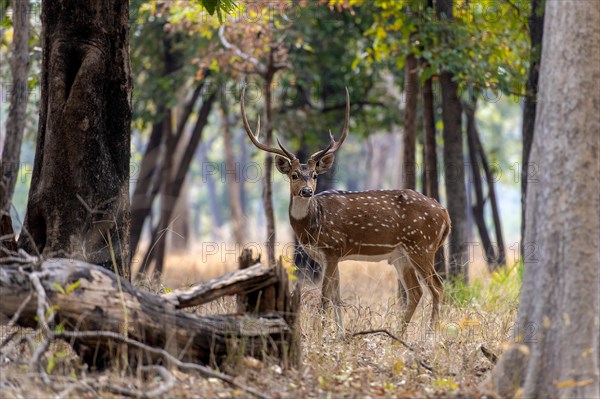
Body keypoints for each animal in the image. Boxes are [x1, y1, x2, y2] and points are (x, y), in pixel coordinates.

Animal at [239, 87, 450, 338]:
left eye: (315, 175)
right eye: (294, 175)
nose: (307, 191)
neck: (312, 226)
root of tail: (445, 214)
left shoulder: (332, 248)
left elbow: (324, 297)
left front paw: (321, 334)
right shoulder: (329, 256)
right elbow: (337, 297)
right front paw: (340, 335)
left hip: (422, 245)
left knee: (437, 287)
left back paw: (431, 336)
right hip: (402, 254)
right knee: (416, 291)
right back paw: (397, 335)